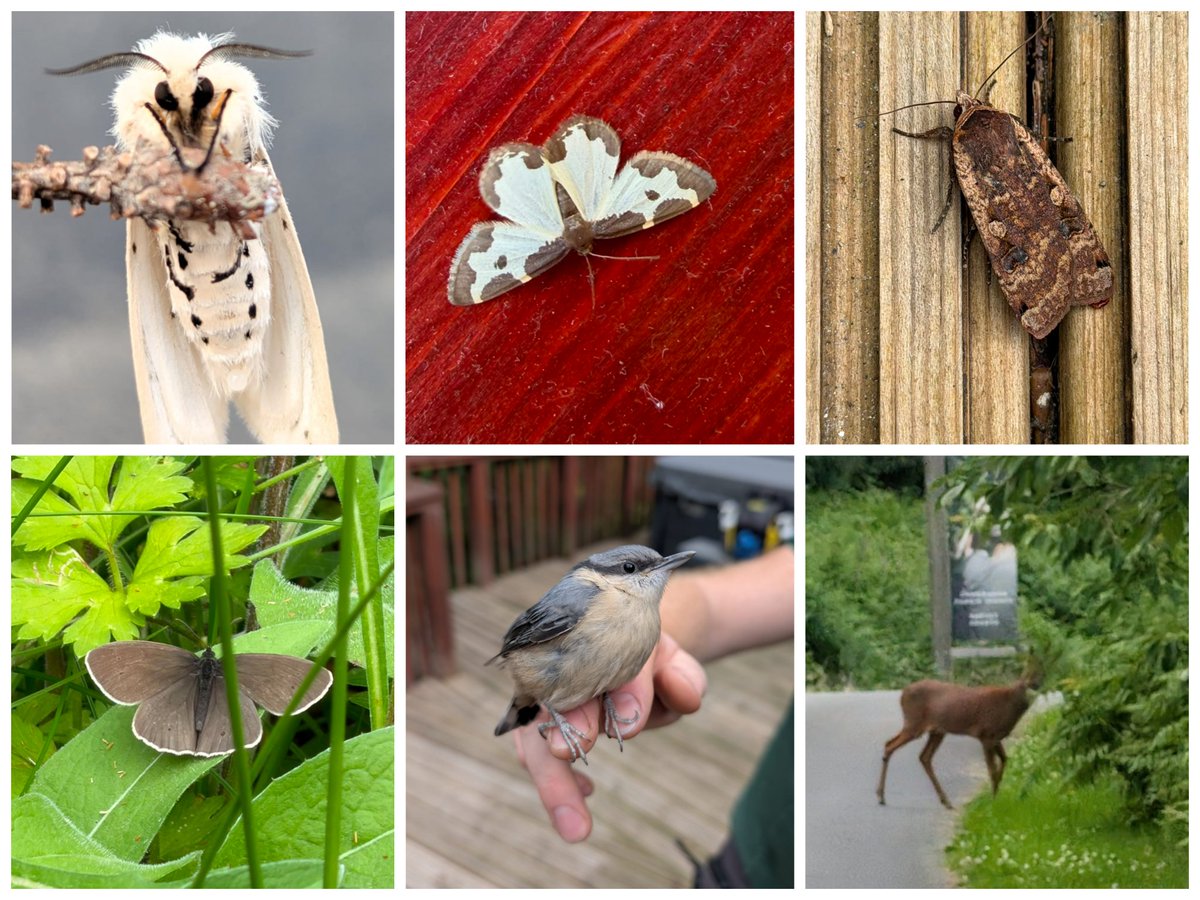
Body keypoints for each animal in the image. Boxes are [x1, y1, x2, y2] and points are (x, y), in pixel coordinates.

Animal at [876, 665, 1041, 809]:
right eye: (1028, 684)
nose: (1036, 688)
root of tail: (903, 693)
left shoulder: (995, 738)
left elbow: (1004, 759)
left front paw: (997, 797)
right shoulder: (986, 735)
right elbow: (992, 769)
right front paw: (993, 802)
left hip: (936, 731)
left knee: (922, 756)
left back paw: (945, 801)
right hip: (914, 724)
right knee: (891, 746)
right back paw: (881, 796)